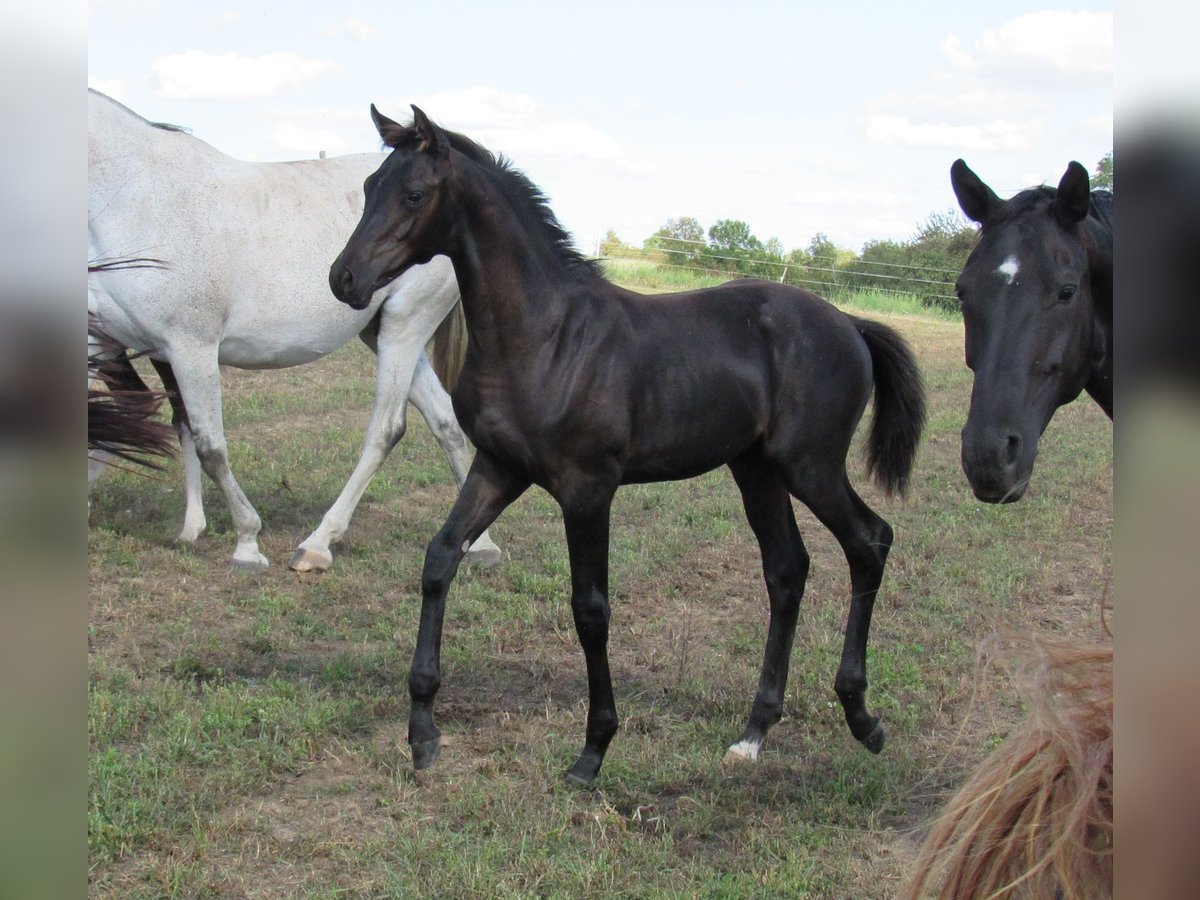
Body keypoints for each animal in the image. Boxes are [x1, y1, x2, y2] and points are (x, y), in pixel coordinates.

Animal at [87, 89, 499, 570]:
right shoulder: (112, 342)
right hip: (384, 334)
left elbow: (210, 446)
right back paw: (482, 544)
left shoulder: (191, 347)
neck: (138, 197)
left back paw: (319, 543)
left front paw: (247, 542)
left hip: (406, 325)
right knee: (445, 421)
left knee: (387, 429)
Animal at [329, 105, 927, 784]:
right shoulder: (498, 468)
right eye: (369, 187)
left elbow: (591, 608)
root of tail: (850, 323)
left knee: (869, 541)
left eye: (412, 194)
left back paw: (863, 718)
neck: (545, 335)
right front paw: (423, 733)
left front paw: (593, 750)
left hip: (811, 465)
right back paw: (754, 732)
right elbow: (439, 559)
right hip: (756, 470)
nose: (344, 279)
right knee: (787, 570)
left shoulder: (588, 488)